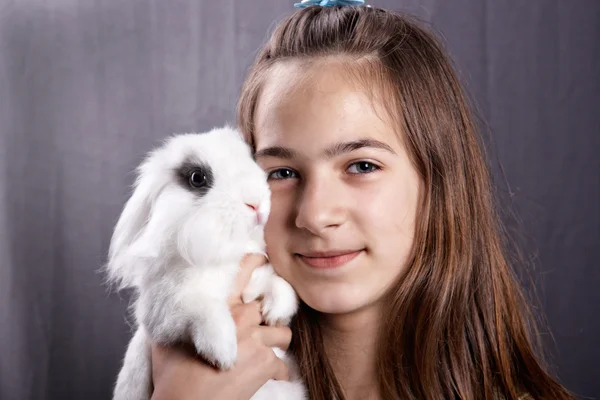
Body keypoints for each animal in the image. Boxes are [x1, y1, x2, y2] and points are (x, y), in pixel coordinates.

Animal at [104, 126, 304, 400]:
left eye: (250, 159)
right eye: (198, 178)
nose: (256, 204)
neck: (220, 255)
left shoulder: (254, 280)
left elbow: (278, 283)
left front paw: (276, 313)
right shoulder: (168, 309)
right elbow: (204, 309)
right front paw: (224, 355)